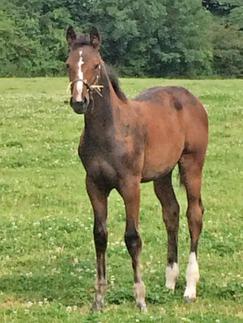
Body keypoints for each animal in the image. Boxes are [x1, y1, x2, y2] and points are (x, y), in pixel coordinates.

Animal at [65, 27, 208, 312]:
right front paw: (99, 300)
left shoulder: (130, 185)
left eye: (96, 65)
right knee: (171, 212)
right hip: (162, 174)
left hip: (192, 164)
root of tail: (192, 99)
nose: (79, 102)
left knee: (194, 214)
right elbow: (100, 235)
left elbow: (132, 237)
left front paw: (140, 299)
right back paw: (169, 282)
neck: (110, 130)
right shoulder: (94, 185)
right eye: (68, 64)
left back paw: (189, 288)